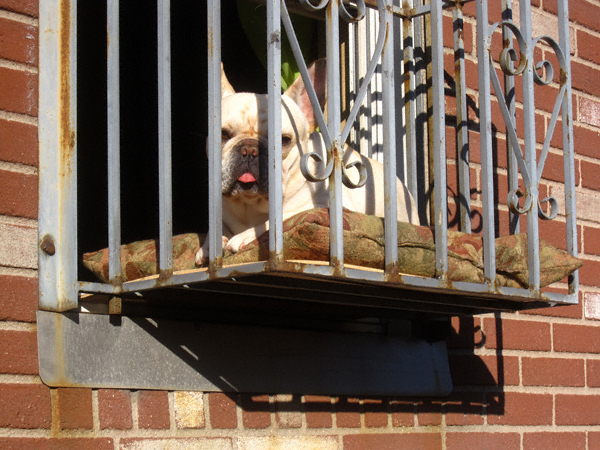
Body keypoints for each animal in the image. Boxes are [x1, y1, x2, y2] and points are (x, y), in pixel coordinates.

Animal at [196, 60, 418, 265]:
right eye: (223, 134)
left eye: (284, 140)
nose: (250, 149)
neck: (251, 203)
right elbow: (216, 228)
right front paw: (208, 247)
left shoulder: (329, 208)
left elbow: (283, 217)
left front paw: (244, 236)